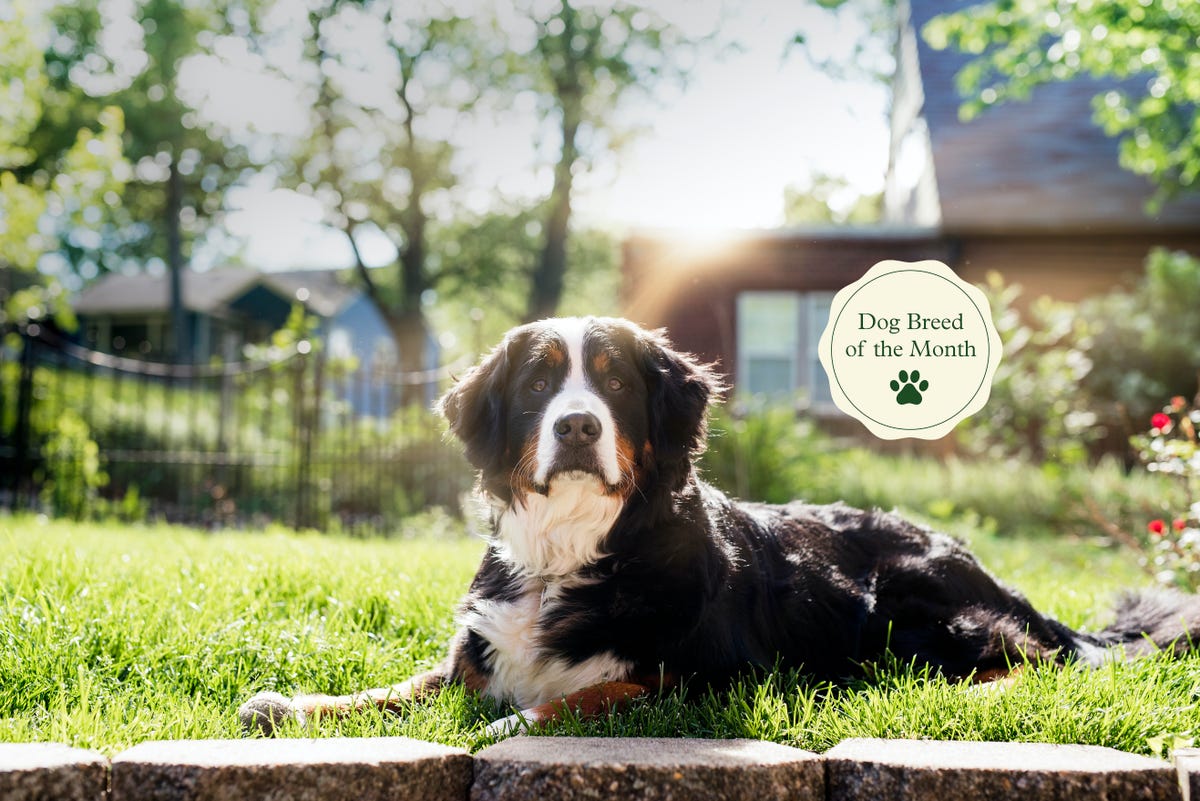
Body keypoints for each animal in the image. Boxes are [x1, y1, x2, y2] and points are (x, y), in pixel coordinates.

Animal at [238, 314, 1200, 738]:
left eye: (615, 382)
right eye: (541, 382)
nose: (577, 425)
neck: (577, 551)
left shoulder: (707, 676)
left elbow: (590, 693)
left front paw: (513, 723)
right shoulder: (473, 650)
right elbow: (397, 686)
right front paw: (295, 702)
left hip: (914, 594)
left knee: (1031, 663)